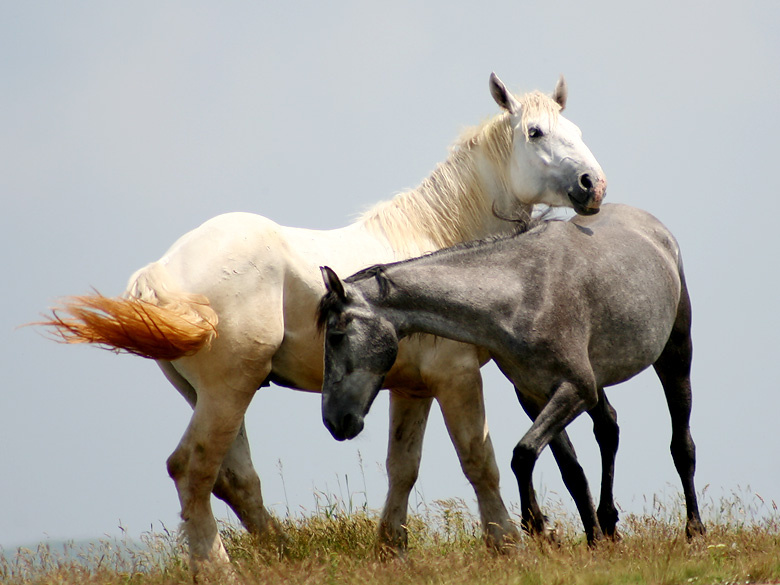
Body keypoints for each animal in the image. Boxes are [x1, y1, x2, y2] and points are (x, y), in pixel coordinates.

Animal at [40, 73, 606, 573]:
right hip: (229, 390)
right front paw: (508, 545)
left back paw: (283, 553)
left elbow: (403, 468)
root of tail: (162, 271)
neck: (438, 244)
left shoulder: (413, 389)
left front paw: (391, 551)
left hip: (213, 395)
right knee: (193, 469)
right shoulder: (457, 378)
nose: (593, 184)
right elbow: (479, 460)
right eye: (536, 133)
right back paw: (218, 567)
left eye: (576, 128)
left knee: (235, 478)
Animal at [318, 203, 705, 545]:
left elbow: (523, 454)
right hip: (596, 383)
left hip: (674, 354)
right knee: (608, 429)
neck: (522, 294)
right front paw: (588, 538)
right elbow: (569, 469)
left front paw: (536, 524)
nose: (334, 421)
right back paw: (608, 524)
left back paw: (695, 531)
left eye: (336, 335)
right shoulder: (536, 394)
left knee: (681, 444)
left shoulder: (575, 389)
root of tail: (654, 230)